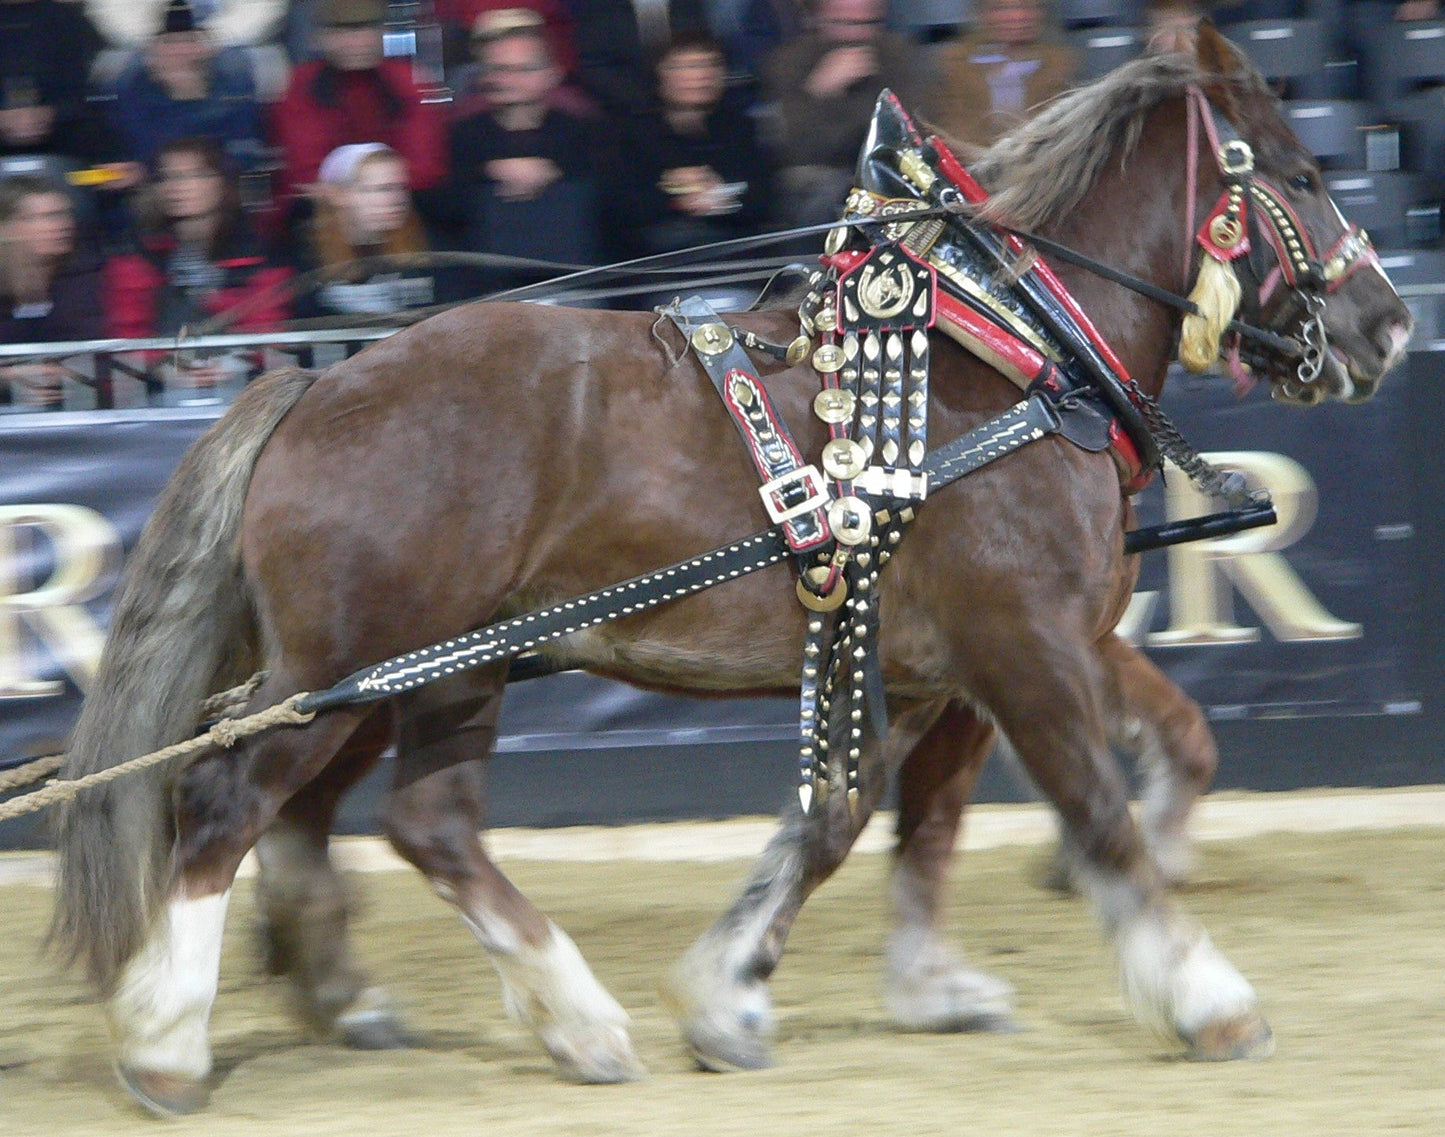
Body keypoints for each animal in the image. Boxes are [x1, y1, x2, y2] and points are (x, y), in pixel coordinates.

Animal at [50, 31, 1404, 1115]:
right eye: (1298, 174)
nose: (1386, 325)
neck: (1015, 361)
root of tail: (310, 385)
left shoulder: (949, 664)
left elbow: (870, 822)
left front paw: (807, 990)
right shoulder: (1024, 648)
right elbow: (1091, 813)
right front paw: (1204, 994)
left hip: (419, 674)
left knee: (405, 826)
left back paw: (519, 1017)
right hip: (350, 672)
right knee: (231, 808)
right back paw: (170, 1044)